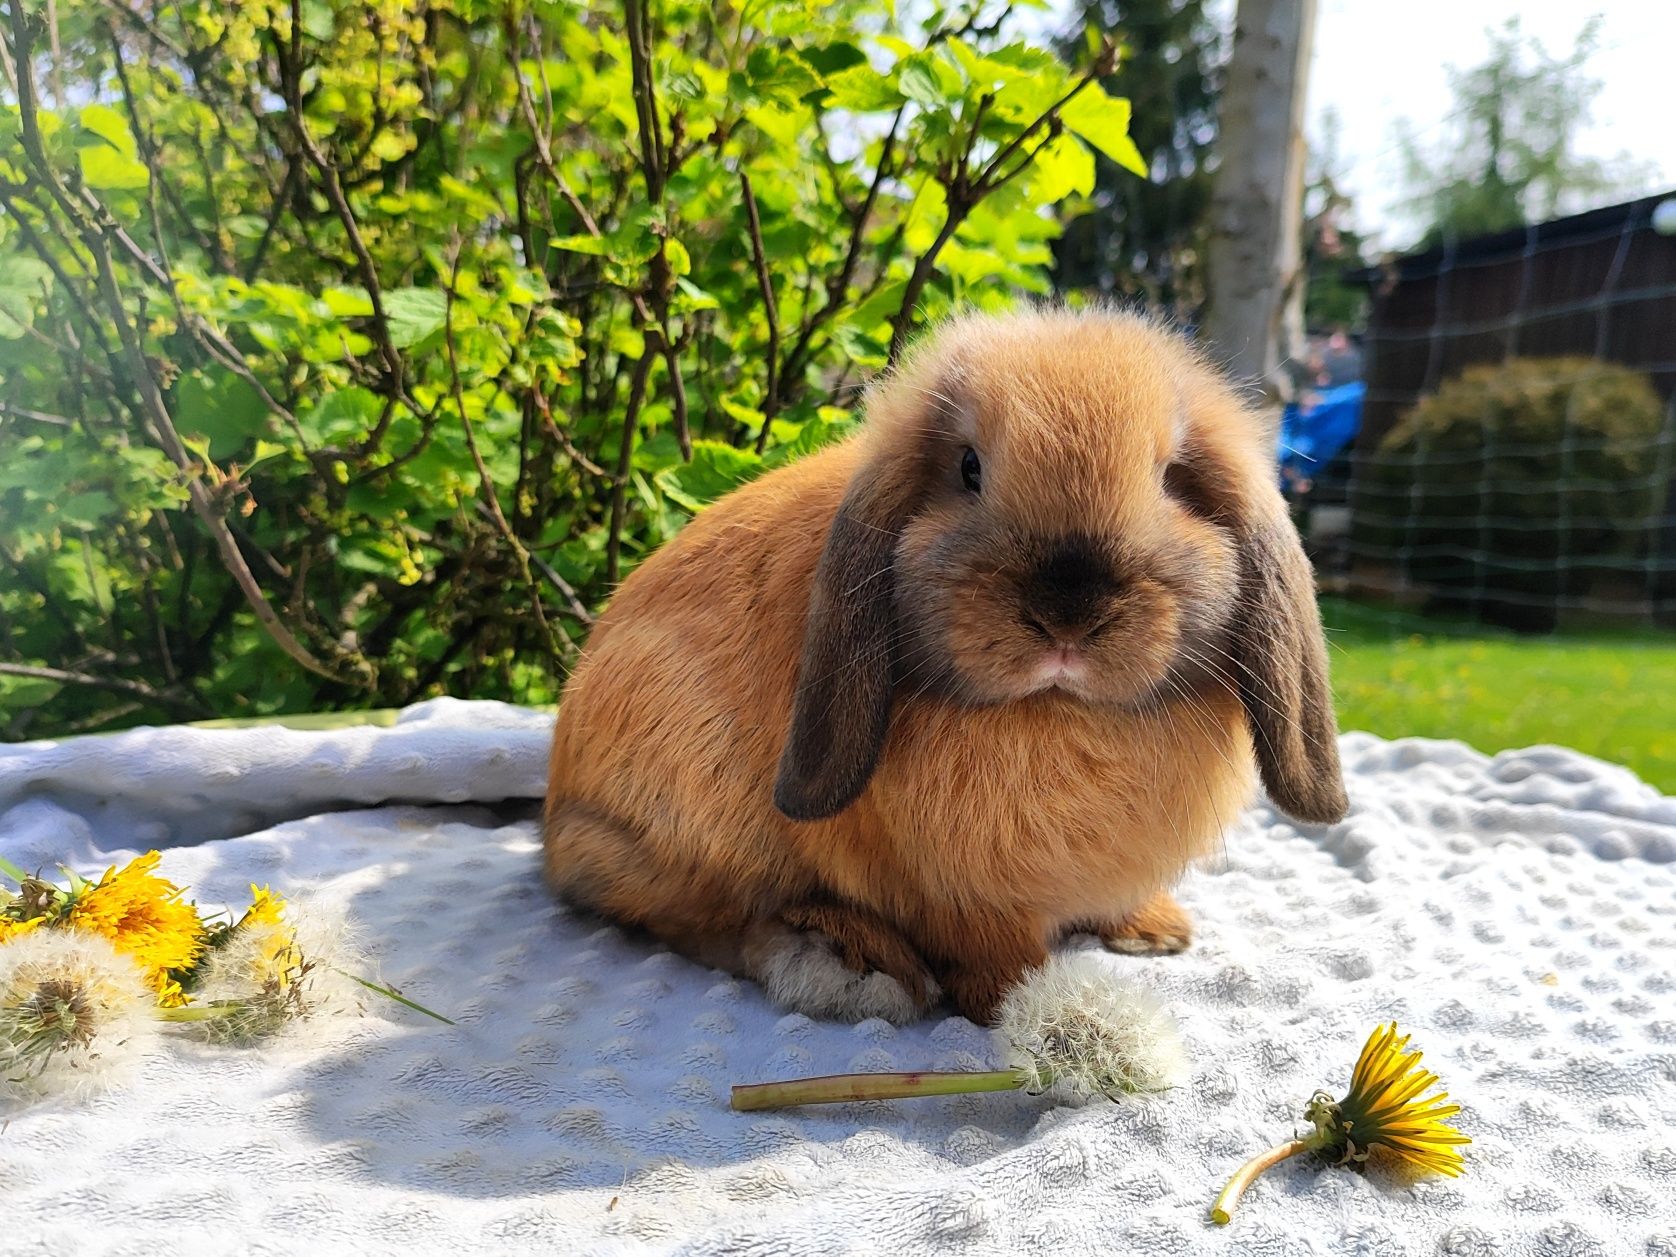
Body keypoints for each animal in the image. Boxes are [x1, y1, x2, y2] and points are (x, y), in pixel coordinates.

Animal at [543, 310, 1354, 1025]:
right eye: (968, 468)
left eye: (1172, 479)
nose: (1068, 612)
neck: (1057, 708)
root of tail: (558, 829)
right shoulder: (959, 892)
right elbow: (991, 950)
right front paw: (1023, 1000)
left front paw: (1155, 932)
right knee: (710, 920)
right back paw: (854, 958)